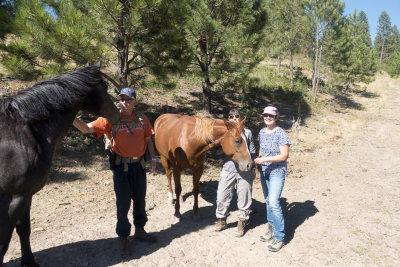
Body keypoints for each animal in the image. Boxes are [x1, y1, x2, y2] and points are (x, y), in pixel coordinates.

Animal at [0, 63, 120, 266]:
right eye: (103, 87)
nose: (117, 114)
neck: (25, 136)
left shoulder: (26, 195)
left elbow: (24, 230)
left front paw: (29, 261)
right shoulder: (15, 198)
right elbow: (4, 242)